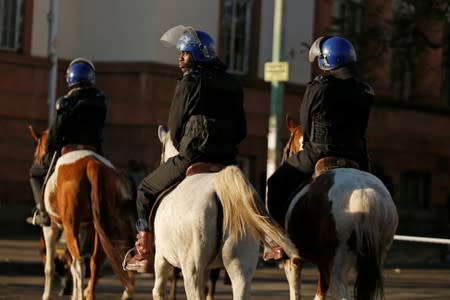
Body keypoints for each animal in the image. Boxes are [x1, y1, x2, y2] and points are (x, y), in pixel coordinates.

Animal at [28, 126, 132, 300]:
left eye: (38, 152)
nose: (36, 162)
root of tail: (91, 163)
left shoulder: (51, 227)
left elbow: (50, 267)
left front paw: (47, 295)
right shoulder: (83, 228)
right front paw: (75, 293)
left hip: (71, 226)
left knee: (79, 263)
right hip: (97, 228)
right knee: (94, 261)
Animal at [280, 115, 400, 300]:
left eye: (286, 148)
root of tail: (364, 194)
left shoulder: (293, 260)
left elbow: (295, 292)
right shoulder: (321, 264)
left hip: (337, 267)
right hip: (375, 259)